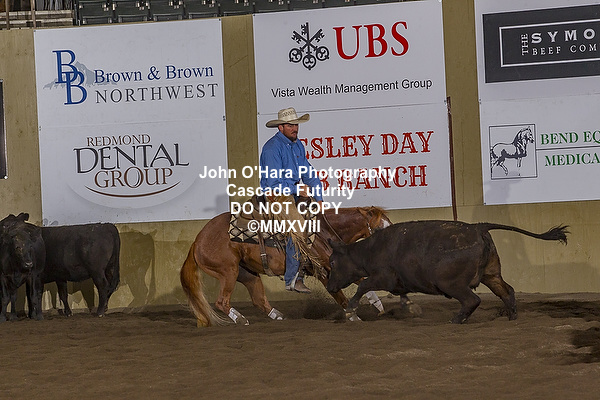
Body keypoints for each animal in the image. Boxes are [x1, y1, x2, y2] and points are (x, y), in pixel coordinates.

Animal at [180, 206, 415, 327]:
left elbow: (362, 281)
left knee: (258, 300)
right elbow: (341, 295)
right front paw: (353, 315)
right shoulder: (325, 272)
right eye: (380, 228)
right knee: (222, 301)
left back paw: (278, 315)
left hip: (247, 273)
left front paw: (379, 304)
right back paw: (241, 319)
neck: (322, 232)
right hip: (228, 271)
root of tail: (196, 242)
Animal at [326, 220, 569, 324]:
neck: (371, 249)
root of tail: (478, 227)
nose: (329, 286)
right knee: (507, 291)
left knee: (472, 300)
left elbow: (363, 284)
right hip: (491, 275)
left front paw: (350, 309)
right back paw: (511, 316)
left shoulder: (383, 277)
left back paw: (456, 319)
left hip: (451, 283)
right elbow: (401, 293)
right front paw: (410, 307)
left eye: (333, 262)